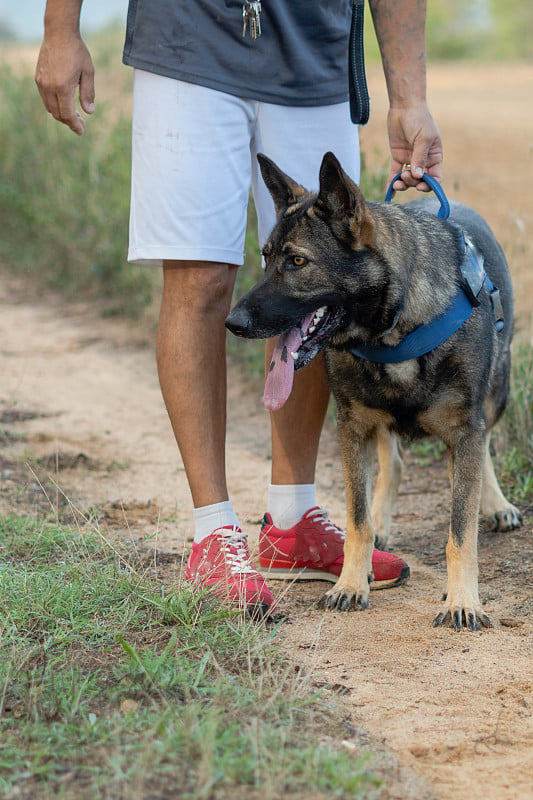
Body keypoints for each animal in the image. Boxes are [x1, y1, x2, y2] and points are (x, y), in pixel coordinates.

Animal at [227, 152, 520, 632]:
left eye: (298, 262)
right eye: (266, 258)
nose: (232, 323)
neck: (394, 329)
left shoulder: (465, 430)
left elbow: (461, 532)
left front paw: (463, 600)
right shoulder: (353, 426)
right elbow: (358, 519)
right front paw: (350, 582)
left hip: (498, 390)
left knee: (484, 445)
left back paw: (495, 503)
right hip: (377, 419)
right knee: (393, 464)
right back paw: (384, 519)